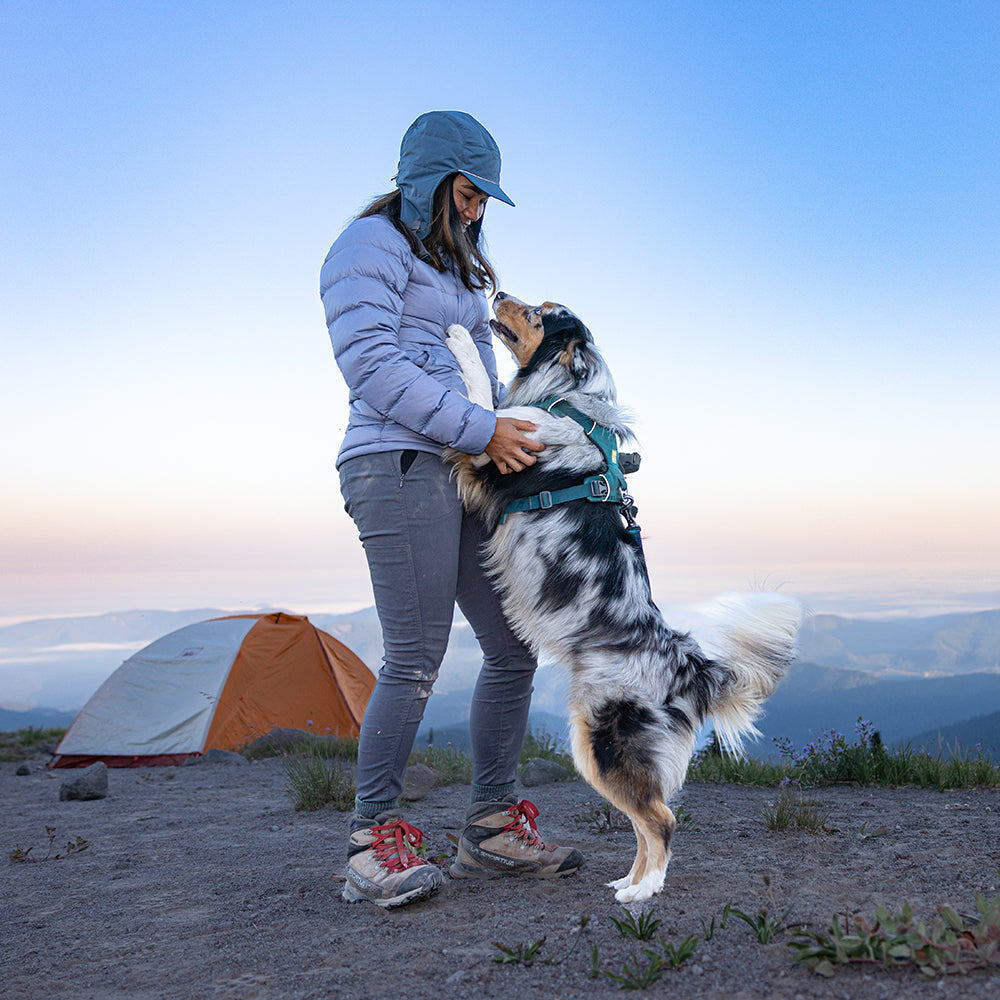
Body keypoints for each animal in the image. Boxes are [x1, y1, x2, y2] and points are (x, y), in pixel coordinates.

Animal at [446, 292, 804, 904]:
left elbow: (479, 401)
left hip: (603, 742)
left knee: (661, 819)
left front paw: (458, 340)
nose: (497, 294)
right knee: (644, 819)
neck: (567, 401)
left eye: (540, 313)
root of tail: (690, 664)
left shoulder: (497, 453)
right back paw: (629, 881)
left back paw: (644, 892)